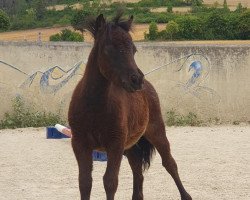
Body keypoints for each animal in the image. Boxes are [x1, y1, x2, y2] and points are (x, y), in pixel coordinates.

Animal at [68, 12, 191, 200]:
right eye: (109, 49)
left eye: (134, 50)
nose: (136, 80)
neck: (94, 106)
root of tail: (148, 87)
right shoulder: (80, 144)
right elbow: (85, 182)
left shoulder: (115, 144)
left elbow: (110, 182)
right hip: (132, 146)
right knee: (137, 171)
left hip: (156, 131)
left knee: (170, 163)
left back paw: (186, 195)